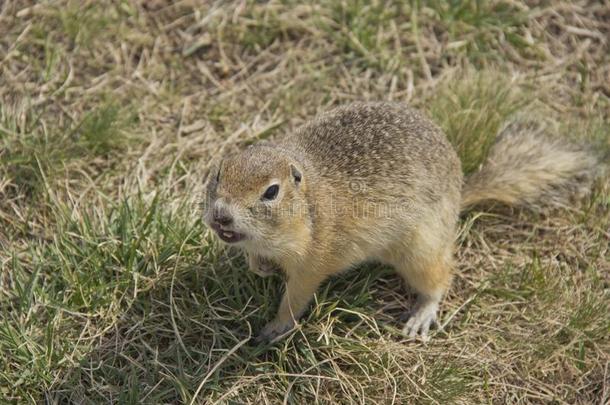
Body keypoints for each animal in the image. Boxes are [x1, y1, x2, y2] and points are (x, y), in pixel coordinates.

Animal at [202, 101, 596, 340]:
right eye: (219, 173)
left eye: (271, 192)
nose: (221, 216)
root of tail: (459, 190)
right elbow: (255, 260)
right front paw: (260, 268)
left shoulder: (313, 262)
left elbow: (295, 298)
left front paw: (275, 327)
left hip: (422, 249)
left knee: (440, 279)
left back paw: (422, 315)